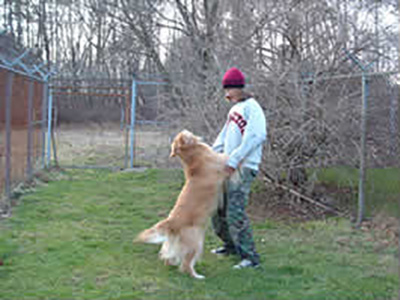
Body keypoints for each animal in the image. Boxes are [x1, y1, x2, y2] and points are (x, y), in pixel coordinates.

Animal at [136, 130, 231, 280]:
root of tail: (171, 222)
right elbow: (230, 157)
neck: (193, 156)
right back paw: (197, 276)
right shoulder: (221, 164)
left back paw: (172, 263)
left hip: (175, 243)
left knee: (169, 257)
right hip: (196, 242)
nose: (183, 131)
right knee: (186, 265)